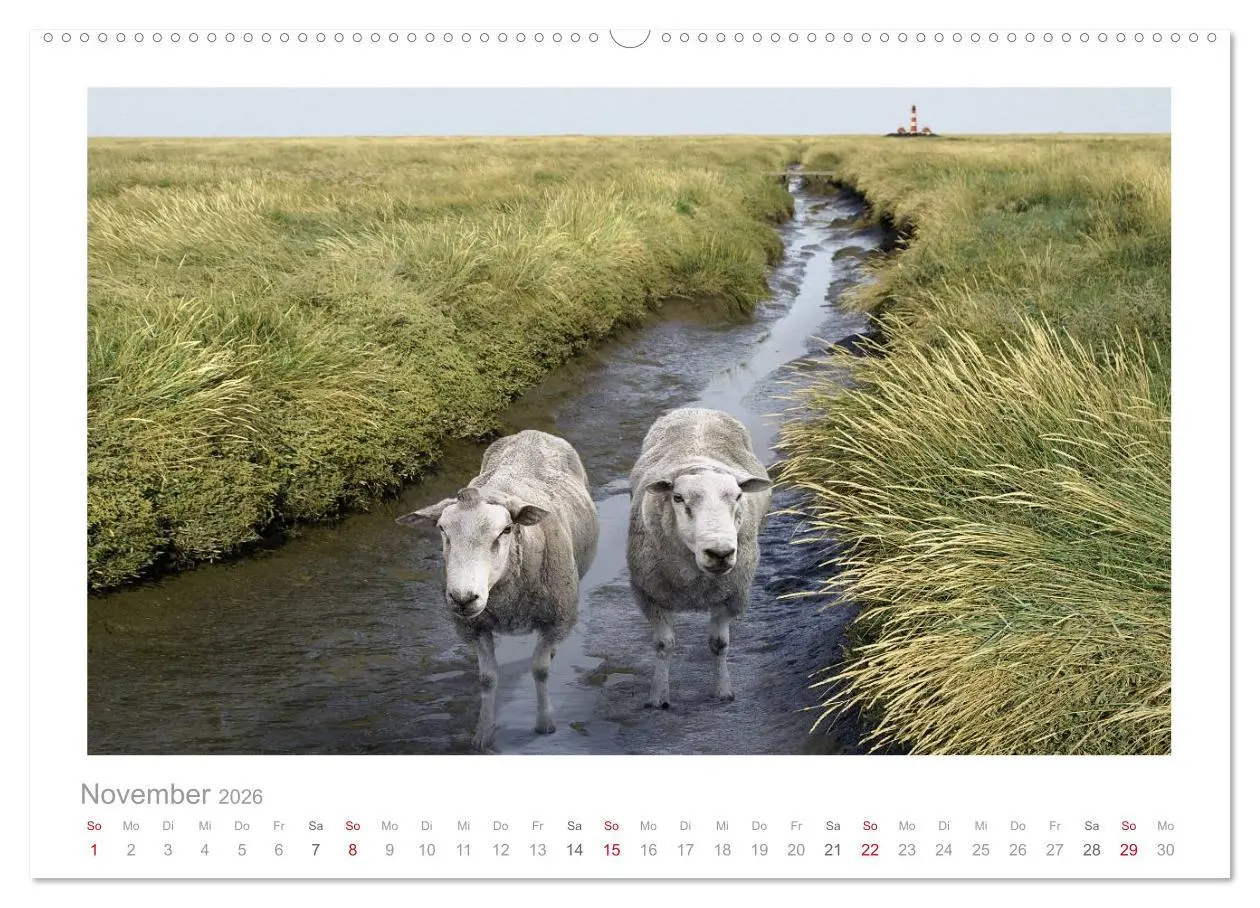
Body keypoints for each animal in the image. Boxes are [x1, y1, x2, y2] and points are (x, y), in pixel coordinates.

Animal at [396, 430, 598, 752]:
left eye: (505, 530)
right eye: (442, 530)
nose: (463, 598)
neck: (506, 603)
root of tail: (532, 433)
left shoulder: (556, 619)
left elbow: (540, 669)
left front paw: (544, 724)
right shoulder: (474, 628)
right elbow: (488, 678)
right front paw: (483, 733)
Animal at [626, 407, 773, 708]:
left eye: (738, 496)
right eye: (678, 498)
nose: (720, 553)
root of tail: (698, 410)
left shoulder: (732, 595)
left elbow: (719, 644)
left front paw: (722, 690)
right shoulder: (648, 594)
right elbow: (663, 645)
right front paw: (658, 695)